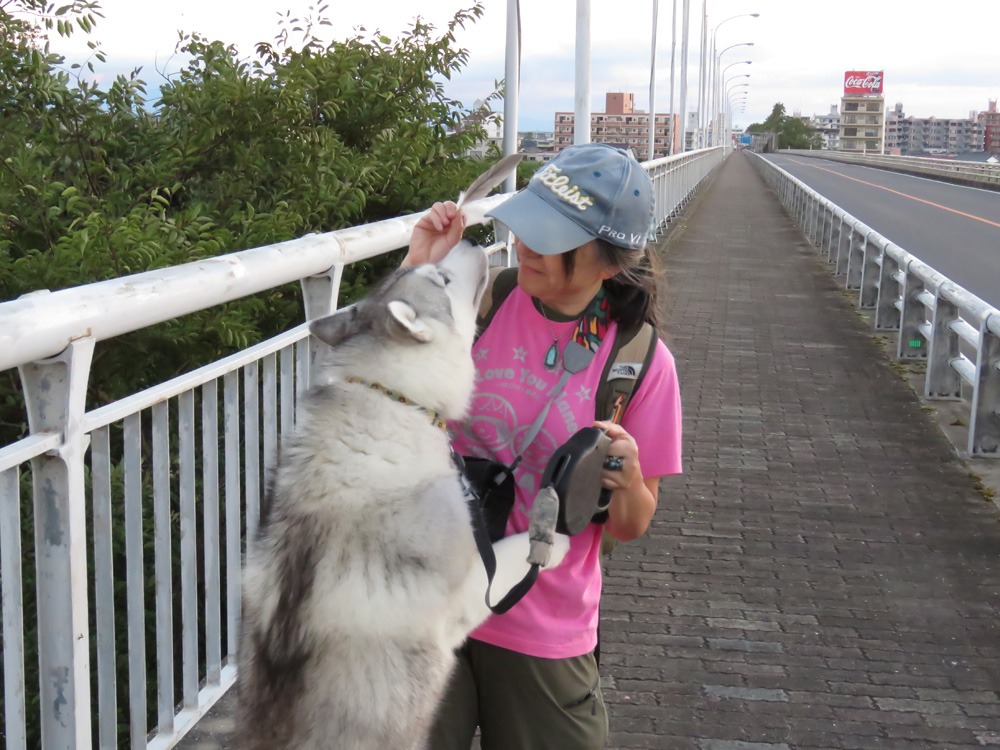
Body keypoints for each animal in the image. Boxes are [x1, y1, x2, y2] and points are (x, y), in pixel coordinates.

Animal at [229, 242, 568, 750]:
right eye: (441, 279)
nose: (469, 241)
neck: (391, 398)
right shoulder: (467, 591)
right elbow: (513, 553)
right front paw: (554, 542)